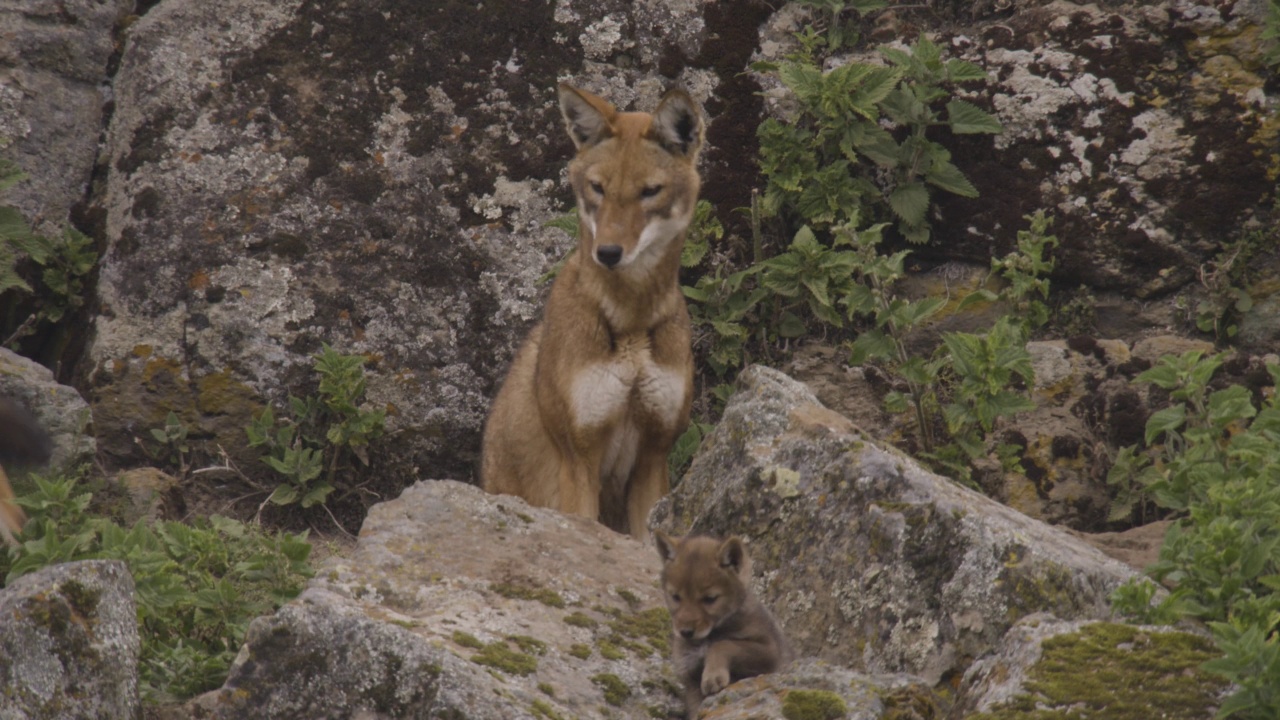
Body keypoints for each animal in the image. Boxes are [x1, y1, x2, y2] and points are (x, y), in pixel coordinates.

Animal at [481, 81, 706, 535]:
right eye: (599, 188)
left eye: (649, 191)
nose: (608, 252)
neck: (631, 322)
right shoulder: (579, 460)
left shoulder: (653, 458)